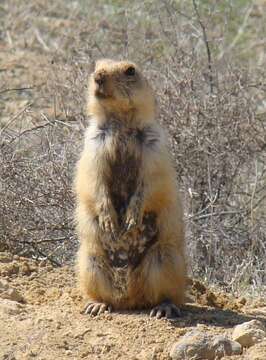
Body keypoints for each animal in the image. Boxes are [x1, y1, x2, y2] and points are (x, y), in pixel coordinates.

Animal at [74, 59, 186, 318]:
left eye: (130, 70)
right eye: (96, 65)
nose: (98, 76)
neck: (121, 122)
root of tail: (130, 299)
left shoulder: (155, 148)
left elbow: (151, 183)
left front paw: (131, 219)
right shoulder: (92, 146)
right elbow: (93, 180)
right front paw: (108, 220)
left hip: (164, 259)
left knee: (168, 294)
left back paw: (164, 308)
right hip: (90, 261)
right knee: (104, 295)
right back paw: (96, 305)